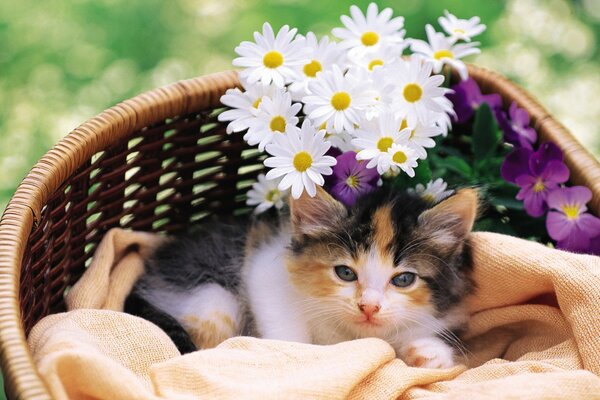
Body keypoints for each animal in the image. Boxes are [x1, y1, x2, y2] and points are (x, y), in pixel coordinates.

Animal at [126, 186, 478, 368]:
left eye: (404, 280)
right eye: (345, 273)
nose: (369, 307)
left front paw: (428, 352)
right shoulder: (265, 268)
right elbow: (286, 331)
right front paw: (299, 357)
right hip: (211, 296)